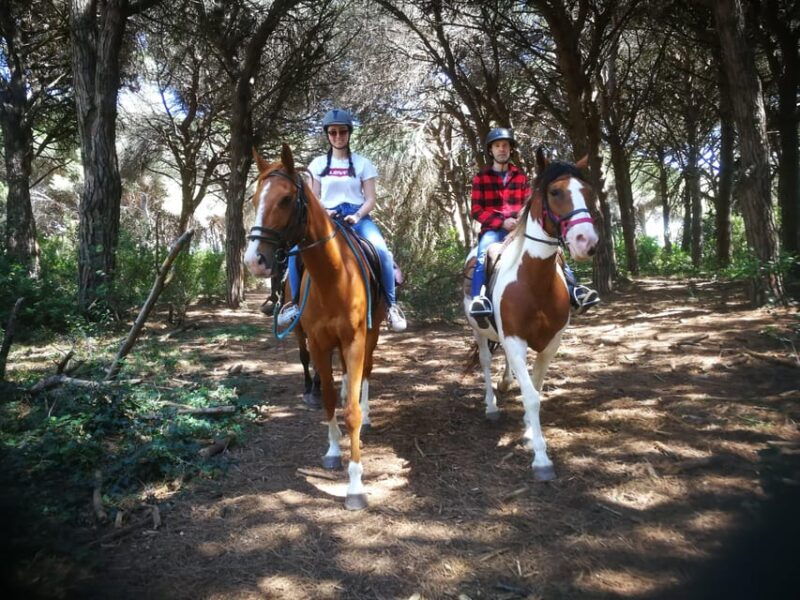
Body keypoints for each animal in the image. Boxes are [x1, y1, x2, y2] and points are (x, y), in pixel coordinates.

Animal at [244, 144, 384, 510]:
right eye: (255, 199)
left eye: (285, 200)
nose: (254, 261)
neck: (333, 277)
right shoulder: (320, 343)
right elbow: (328, 399)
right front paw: (334, 450)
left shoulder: (355, 340)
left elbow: (351, 412)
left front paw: (355, 486)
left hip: (373, 334)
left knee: (365, 373)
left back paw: (368, 411)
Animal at [463, 148, 599, 481]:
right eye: (555, 192)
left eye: (588, 192)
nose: (586, 242)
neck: (533, 281)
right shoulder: (514, 339)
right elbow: (531, 395)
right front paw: (541, 458)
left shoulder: (551, 343)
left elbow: (534, 390)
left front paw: (528, 432)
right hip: (479, 331)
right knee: (486, 362)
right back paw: (491, 406)